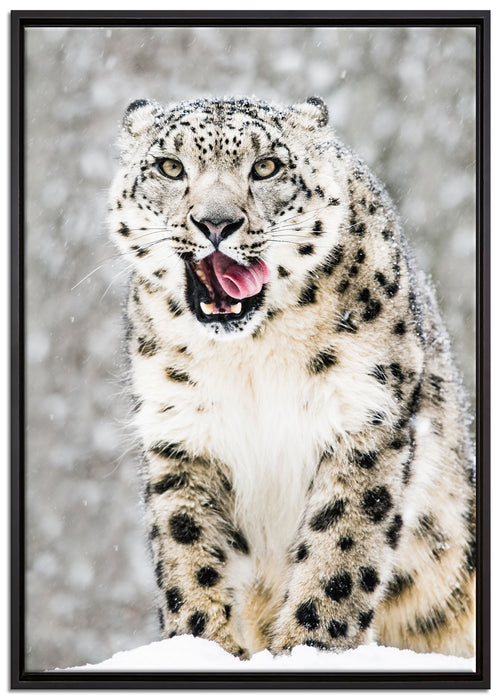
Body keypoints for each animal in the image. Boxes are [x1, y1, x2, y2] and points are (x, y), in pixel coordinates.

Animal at [108, 96, 476, 660]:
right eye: (170, 167)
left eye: (266, 167)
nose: (216, 223)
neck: (251, 357)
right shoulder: (183, 433)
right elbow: (190, 549)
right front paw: (204, 644)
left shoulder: (365, 415)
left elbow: (341, 547)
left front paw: (313, 644)